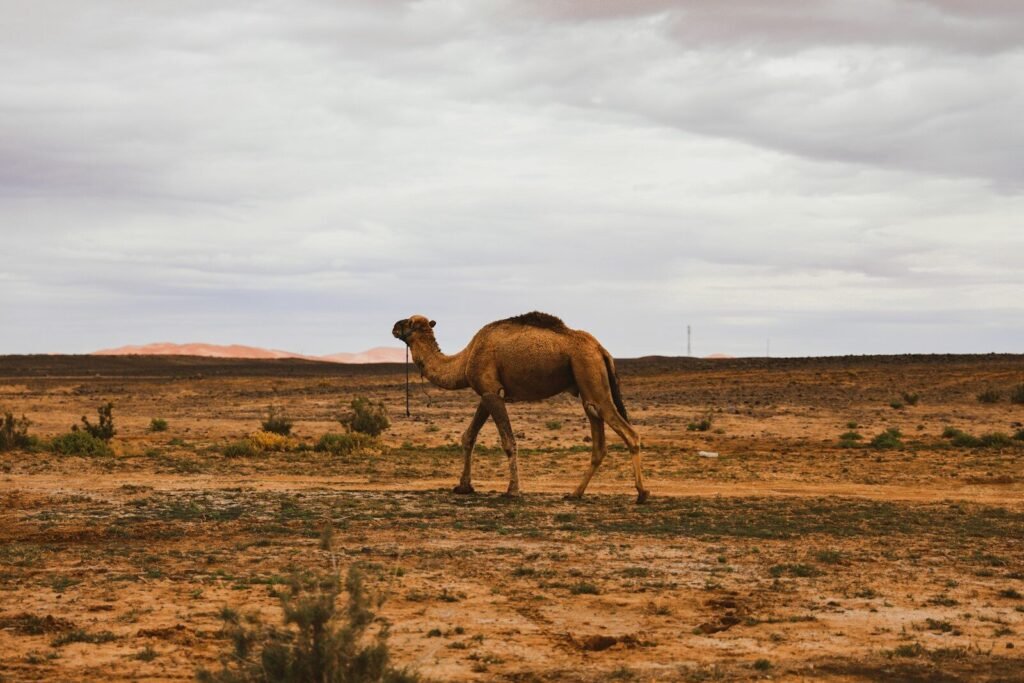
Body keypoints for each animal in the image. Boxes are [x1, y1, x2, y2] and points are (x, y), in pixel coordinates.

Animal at [392, 312, 649, 503]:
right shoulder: (488, 392)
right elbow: (469, 436)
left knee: (629, 432)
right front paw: (463, 486)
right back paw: (575, 493)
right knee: (598, 436)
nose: (394, 326)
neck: (464, 360)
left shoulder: (491, 391)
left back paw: (642, 493)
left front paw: (513, 490)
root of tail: (601, 349)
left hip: (588, 369)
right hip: (586, 380)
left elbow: (508, 441)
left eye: (409, 323)